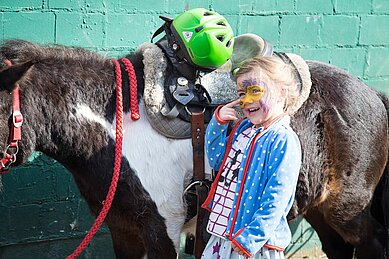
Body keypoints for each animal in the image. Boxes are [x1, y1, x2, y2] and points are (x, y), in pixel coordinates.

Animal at [0, 39, 386, 259]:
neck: (114, 127)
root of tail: (372, 94)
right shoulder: (122, 228)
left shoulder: (164, 229)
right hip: (320, 208)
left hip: (348, 210)